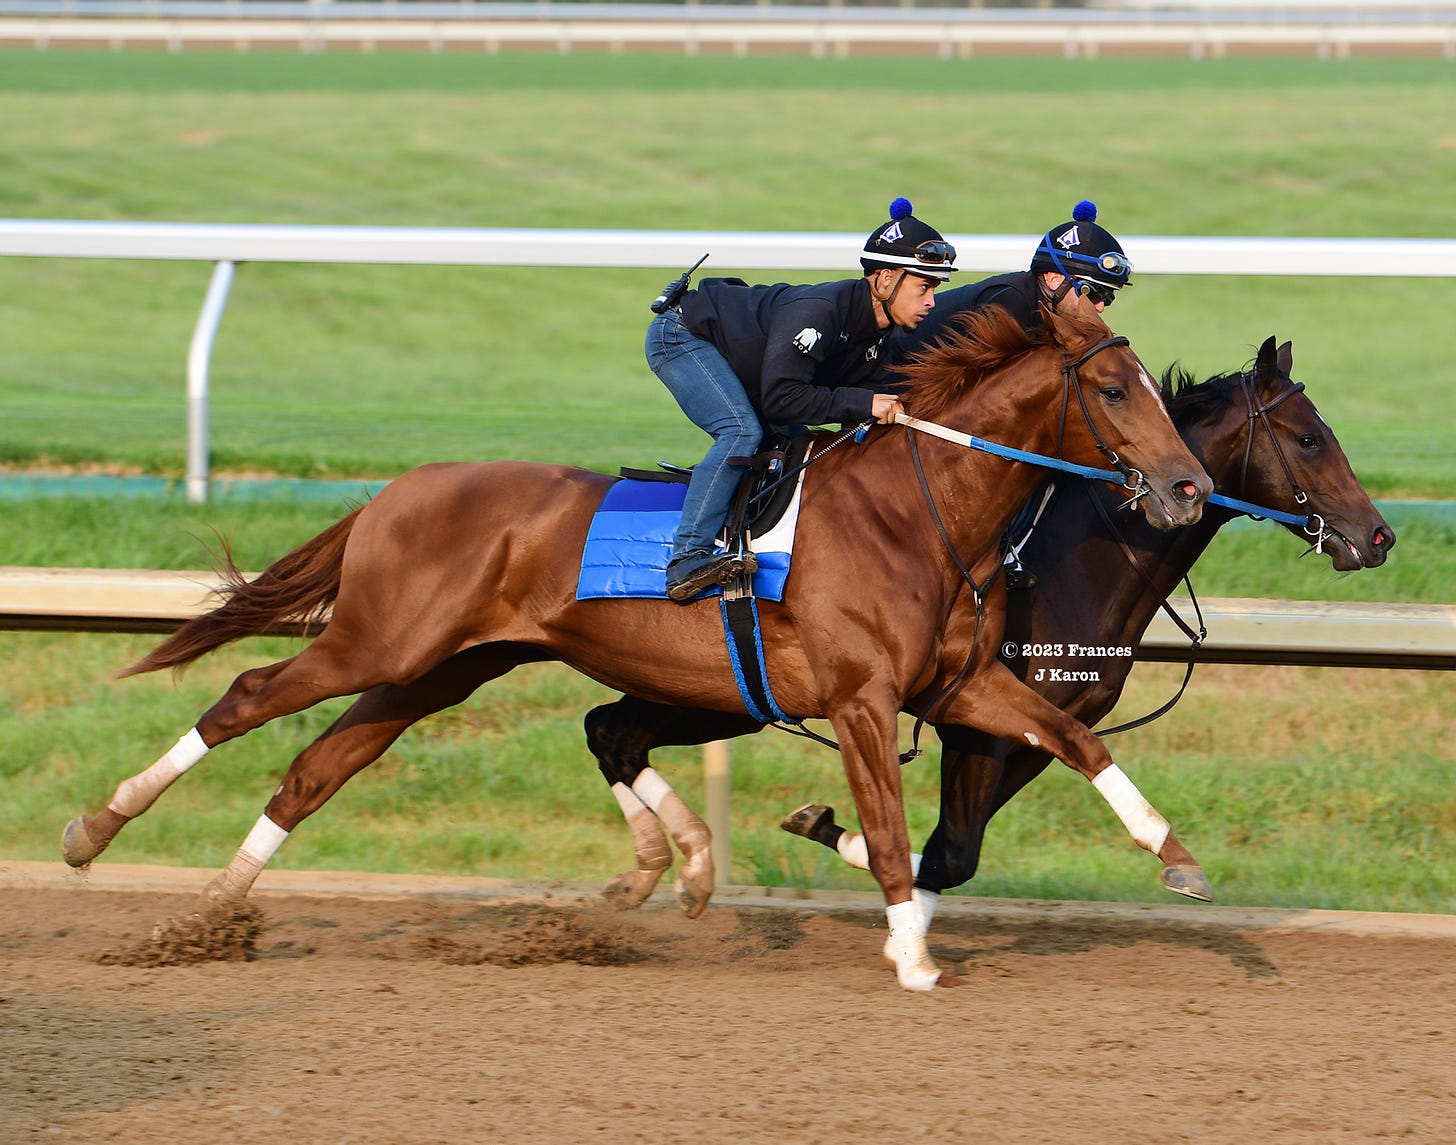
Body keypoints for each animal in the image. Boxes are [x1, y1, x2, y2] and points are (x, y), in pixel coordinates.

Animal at [65, 298, 1205, 984]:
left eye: (1159, 389)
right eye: (1114, 389)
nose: (1188, 485)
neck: (918, 512)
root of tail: (398, 488)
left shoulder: (957, 685)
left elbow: (1076, 739)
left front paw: (1179, 859)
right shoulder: (861, 698)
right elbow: (889, 829)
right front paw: (912, 955)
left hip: (441, 667)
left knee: (317, 766)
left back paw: (212, 909)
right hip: (379, 642)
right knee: (249, 692)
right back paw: (96, 829)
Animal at [573, 335, 1391, 943]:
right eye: (1309, 439)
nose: (1379, 535)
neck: (1082, 555)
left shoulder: (1038, 724)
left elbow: (953, 850)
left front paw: (844, 845)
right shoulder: (972, 723)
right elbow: (949, 847)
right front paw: (850, 850)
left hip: (718, 691)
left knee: (611, 729)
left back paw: (667, 870)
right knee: (612, 730)